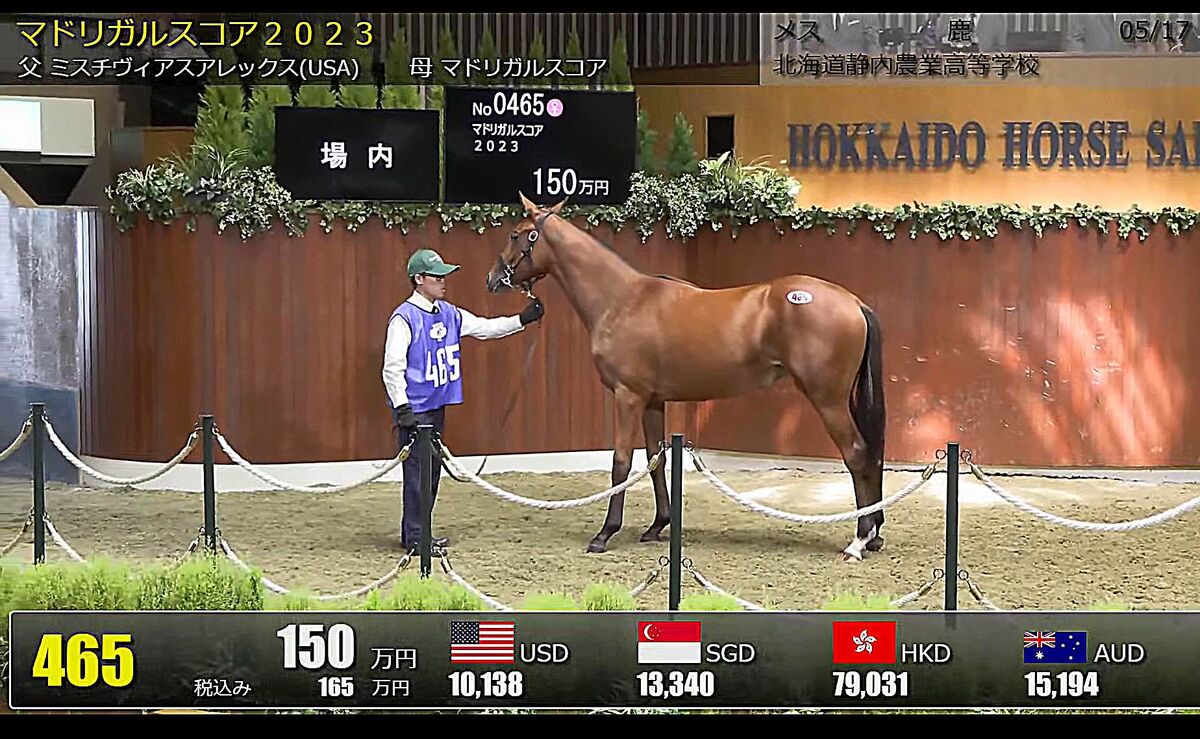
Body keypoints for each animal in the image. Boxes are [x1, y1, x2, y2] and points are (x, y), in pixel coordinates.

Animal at [485, 194, 887, 562]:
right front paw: (657, 526)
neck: (622, 300)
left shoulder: (627, 397)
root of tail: (853, 303)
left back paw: (859, 539)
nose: (492, 279)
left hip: (828, 400)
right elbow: (655, 460)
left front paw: (604, 533)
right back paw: (874, 534)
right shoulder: (652, 401)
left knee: (857, 454)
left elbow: (620, 462)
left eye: (516, 234)